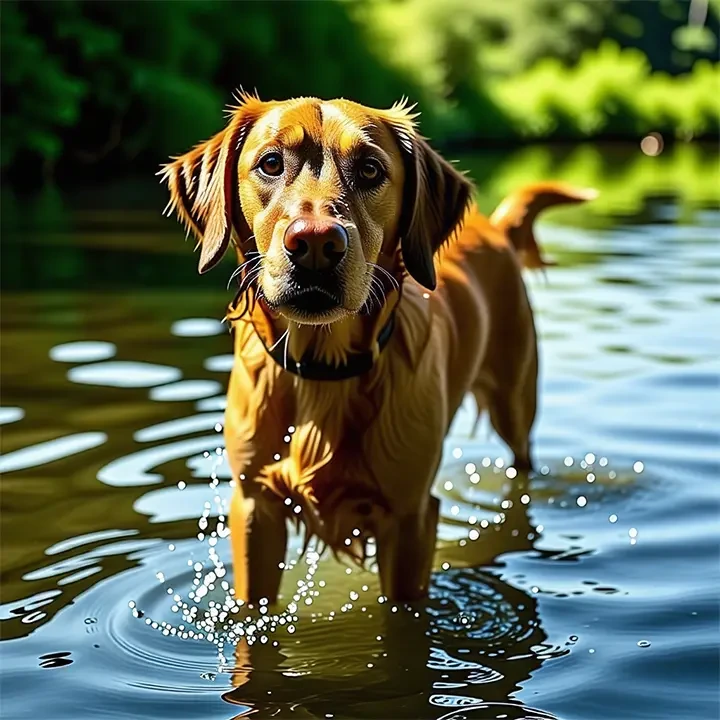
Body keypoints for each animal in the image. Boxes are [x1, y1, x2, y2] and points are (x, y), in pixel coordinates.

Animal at [163, 93, 596, 604]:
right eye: (270, 163)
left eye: (370, 169)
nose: (314, 243)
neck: (323, 370)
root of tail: (493, 227)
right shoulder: (254, 508)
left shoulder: (411, 518)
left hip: (515, 399)